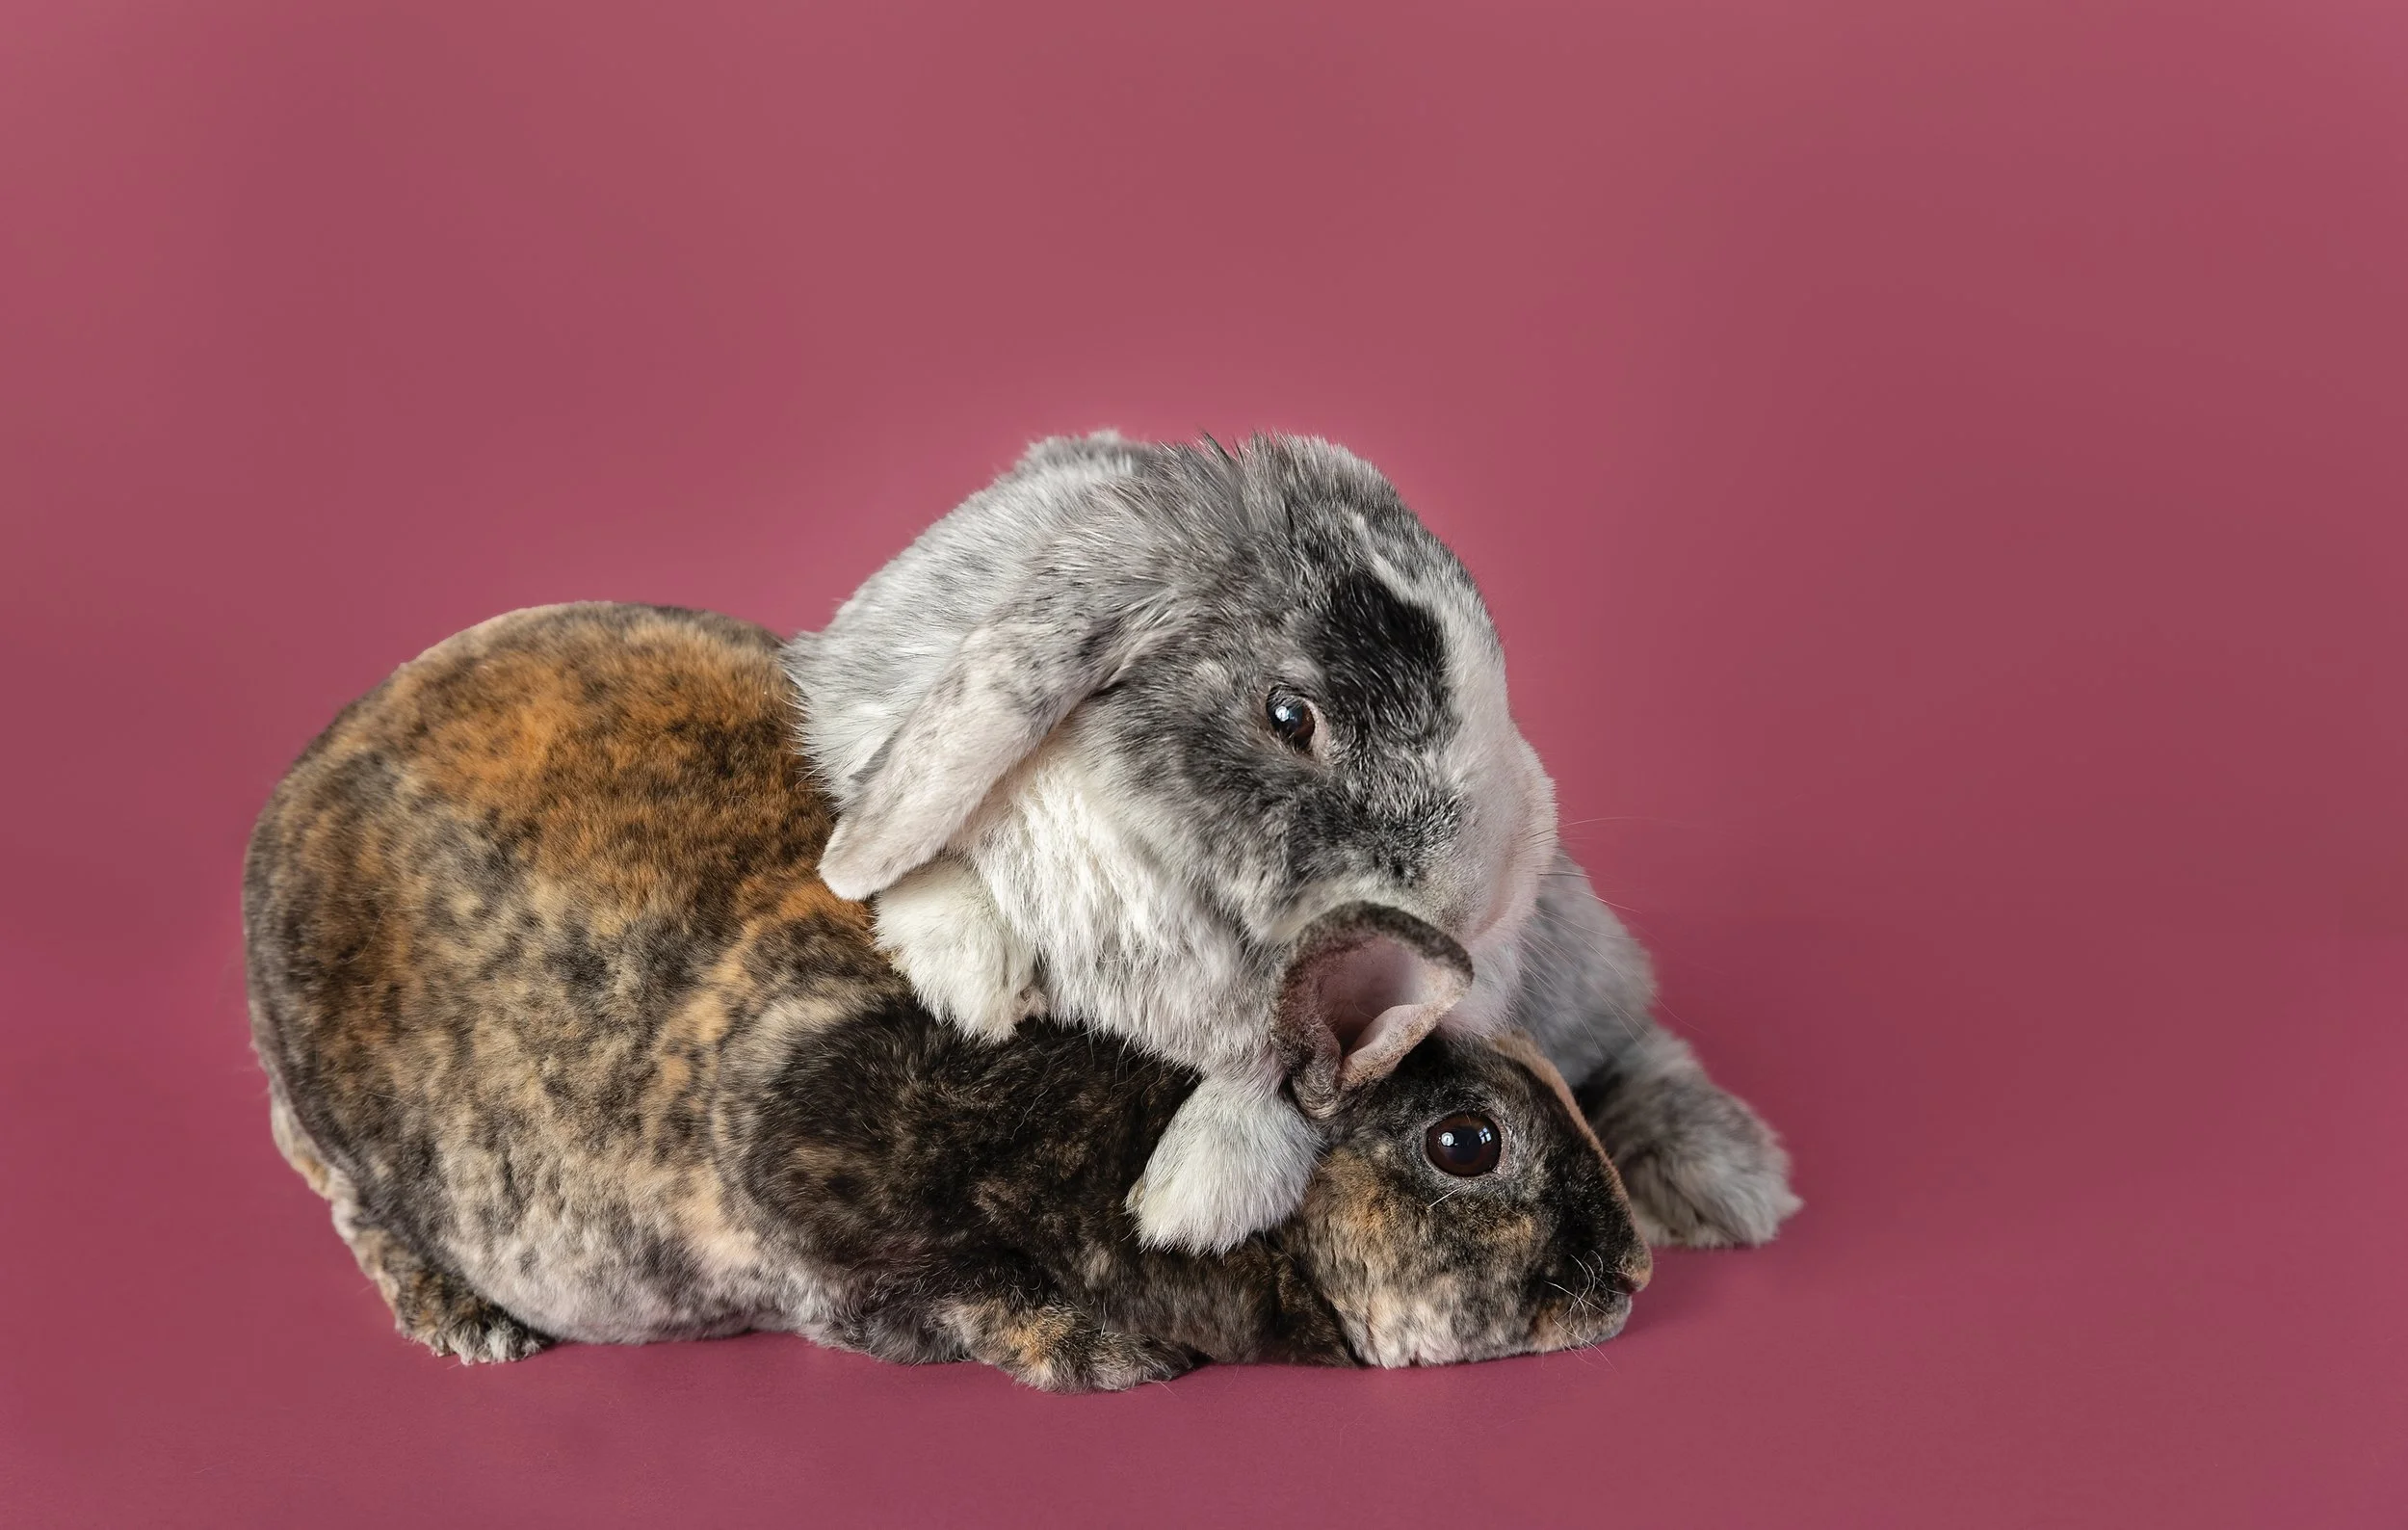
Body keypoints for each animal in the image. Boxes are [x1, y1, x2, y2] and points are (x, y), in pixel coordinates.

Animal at [242, 603, 1650, 1388]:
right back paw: (469, 1322)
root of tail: (299, 784)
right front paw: (1102, 1353)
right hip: (356, 1138)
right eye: (1466, 1143)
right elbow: (951, 1285)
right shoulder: (809, 1153)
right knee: (361, 1213)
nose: (1633, 1272)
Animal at [787, 431, 1799, 1253]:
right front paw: (972, 982)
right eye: (1289, 716)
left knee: (1633, 1047)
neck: (1167, 875)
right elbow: (926, 865)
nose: (1475, 903)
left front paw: (1192, 1202)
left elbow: (1292, 1084)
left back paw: (1729, 1188)